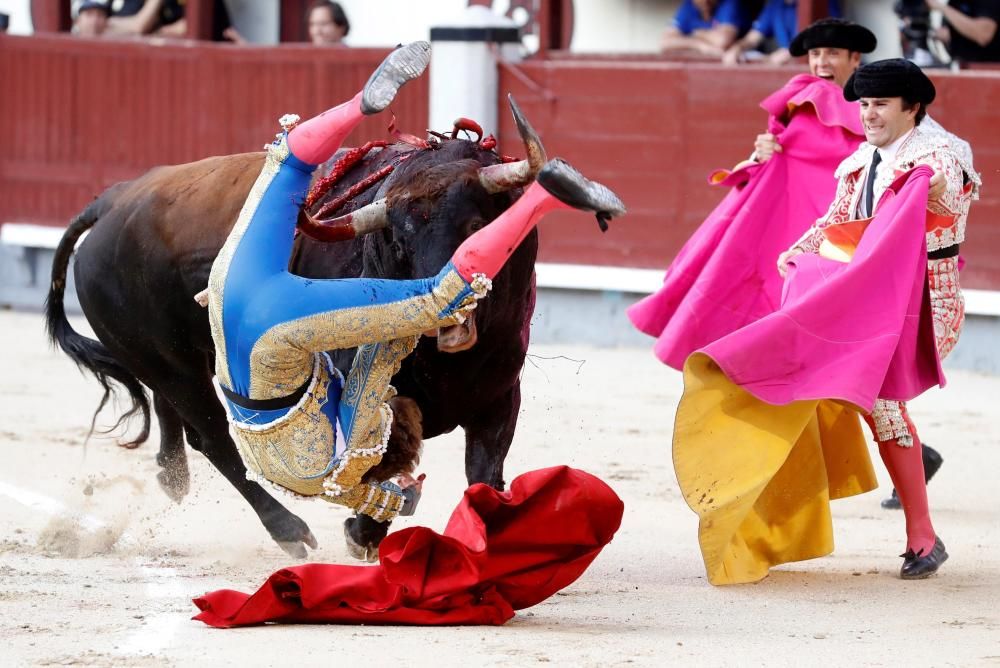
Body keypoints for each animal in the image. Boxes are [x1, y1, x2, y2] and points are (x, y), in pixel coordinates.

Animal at [43, 98, 548, 560]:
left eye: (477, 226)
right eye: (400, 241)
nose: (451, 319)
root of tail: (114, 199)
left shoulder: (501, 398)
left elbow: (484, 476)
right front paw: (364, 533)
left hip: (167, 359)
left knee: (177, 424)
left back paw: (174, 478)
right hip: (172, 368)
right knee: (213, 438)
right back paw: (289, 530)